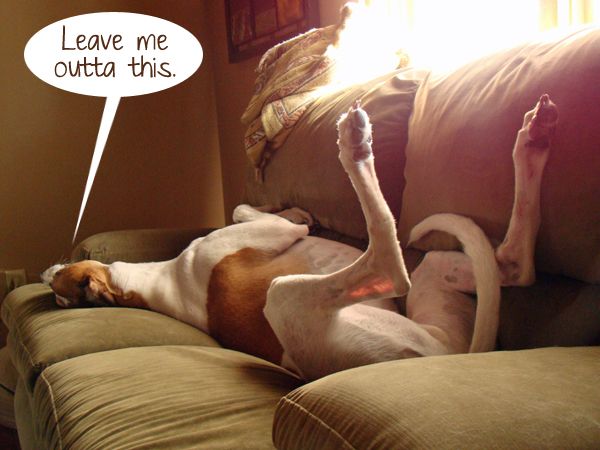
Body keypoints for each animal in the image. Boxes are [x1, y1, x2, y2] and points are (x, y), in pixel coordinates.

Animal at [41, 96, 556, 382]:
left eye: (59, 283)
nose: (46, 270)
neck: (158, 284)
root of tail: (447, 356)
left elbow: (248, 209)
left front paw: (292, 205)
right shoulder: (271, 237)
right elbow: (289, 225)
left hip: (434, 285)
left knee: (514, 265)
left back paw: (534, 140)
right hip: (288, 296)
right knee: (389, 261)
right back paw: (354, 145)